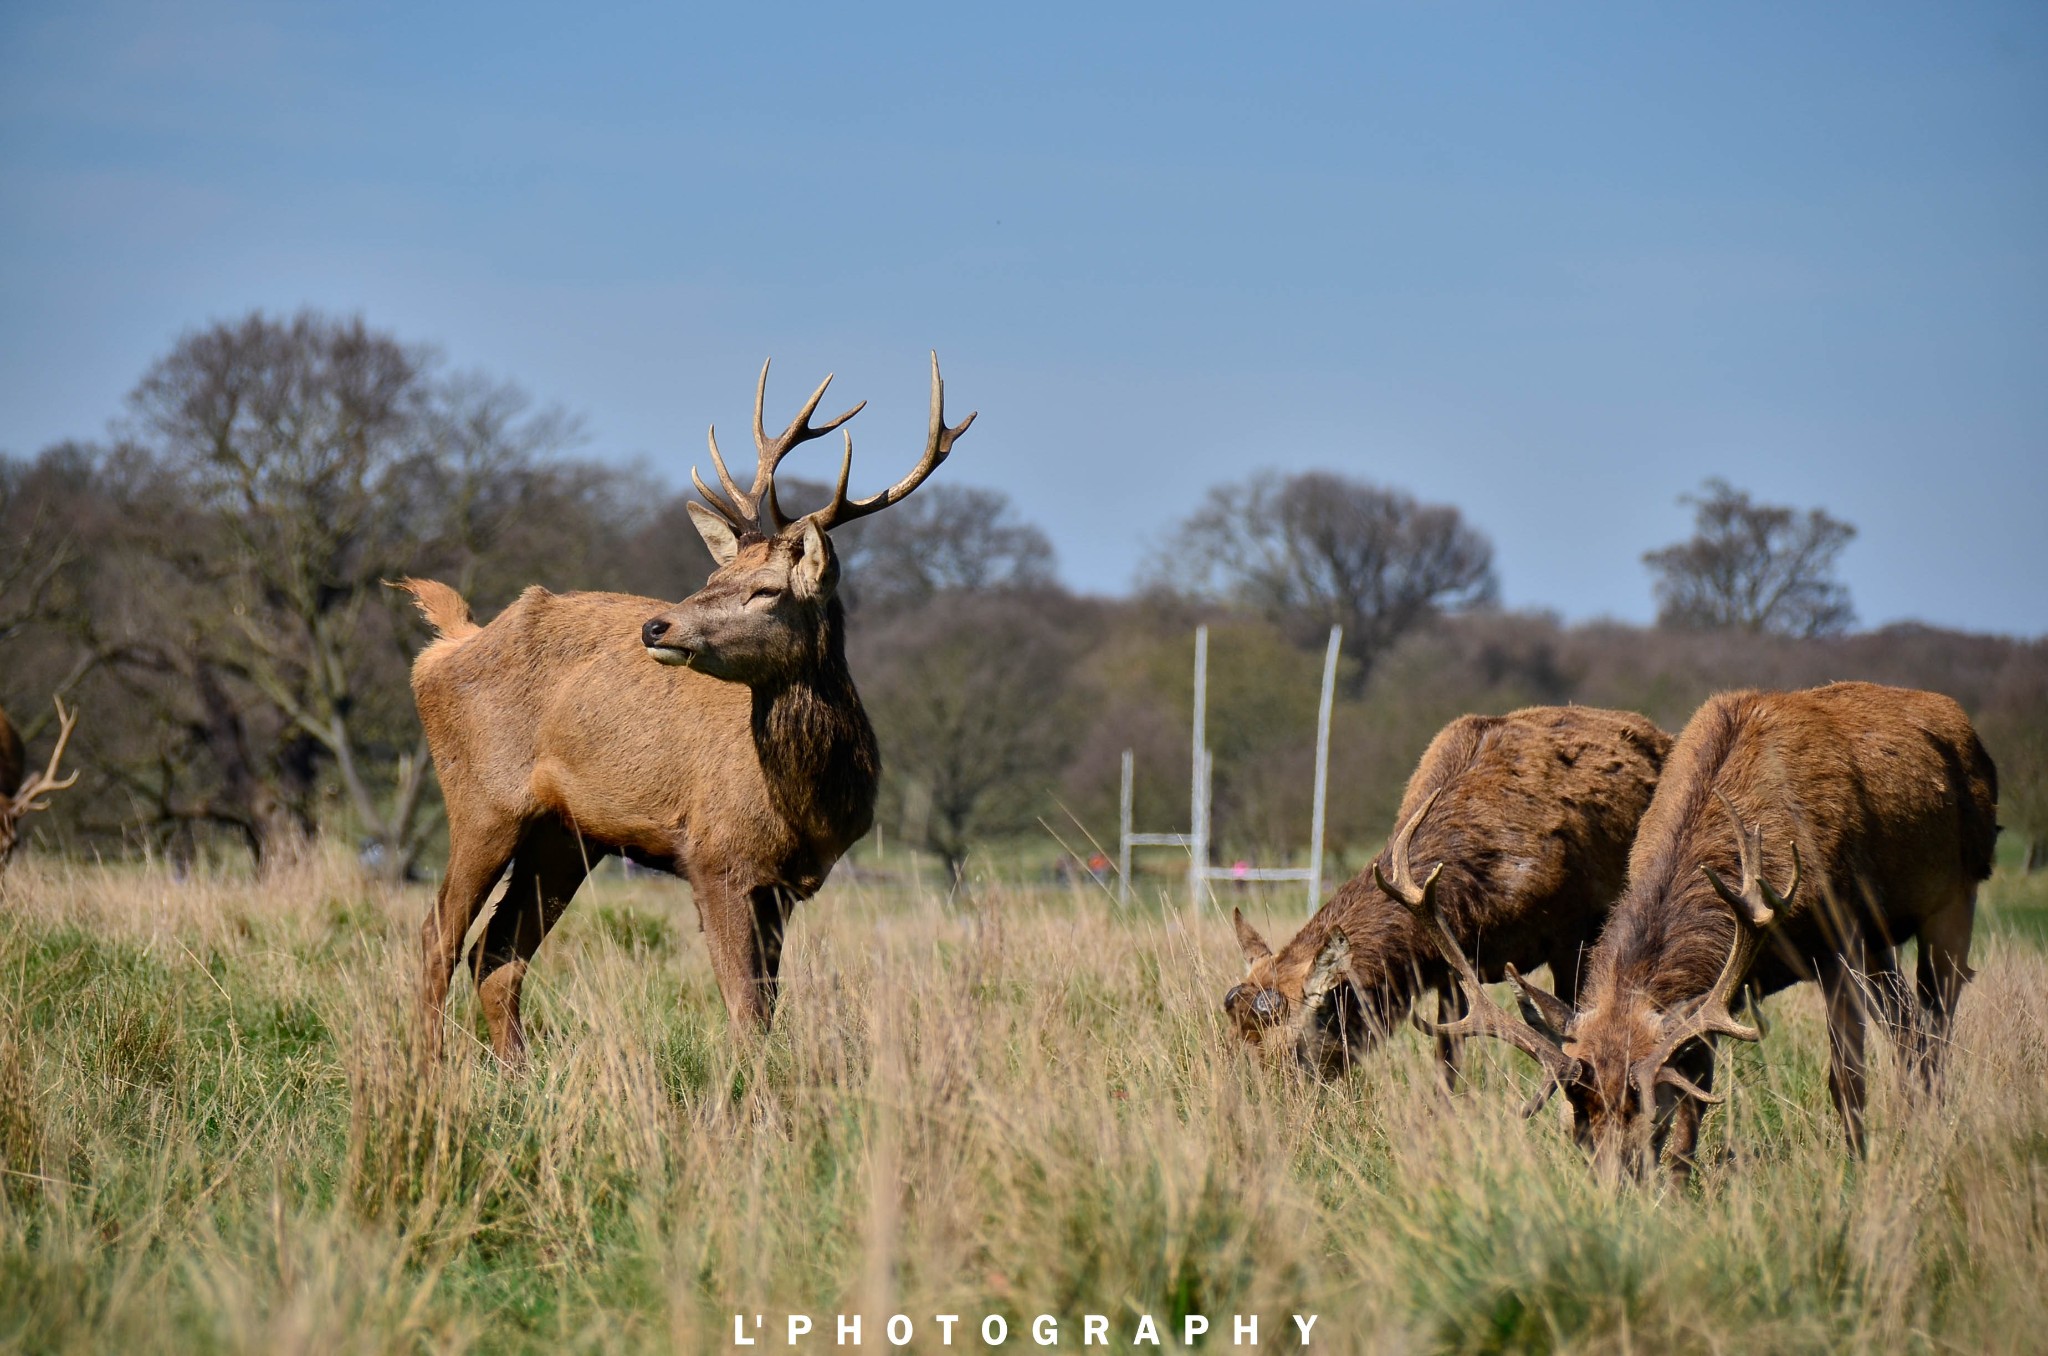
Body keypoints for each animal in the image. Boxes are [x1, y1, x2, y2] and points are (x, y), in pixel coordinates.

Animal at [399, 356, 974, 1065]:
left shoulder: (784, 882)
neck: (809, 799)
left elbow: (768, 1008)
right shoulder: (716, 856)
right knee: (437, 939)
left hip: (564, 835)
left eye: (765, 590)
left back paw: (517, 1076)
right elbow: (747, 1012)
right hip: (483, 800)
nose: (656, 625)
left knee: (495, 954)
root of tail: (447, 645)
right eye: (712, 581)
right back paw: (428, 1073)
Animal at [1392, 684, 1998, 1188]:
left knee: (1934, 1022)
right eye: (1577, 1117)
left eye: (1642, 1108)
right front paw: (1681, 1192)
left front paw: (1858, 1169)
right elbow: (1697, 1100)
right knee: (1909, 1027)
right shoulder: (1708, 993)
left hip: (1954, 895)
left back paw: (1929, 1128)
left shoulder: (1839, 938)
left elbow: (1845, 1080)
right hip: (1883, 946)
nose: (1612, 1187)